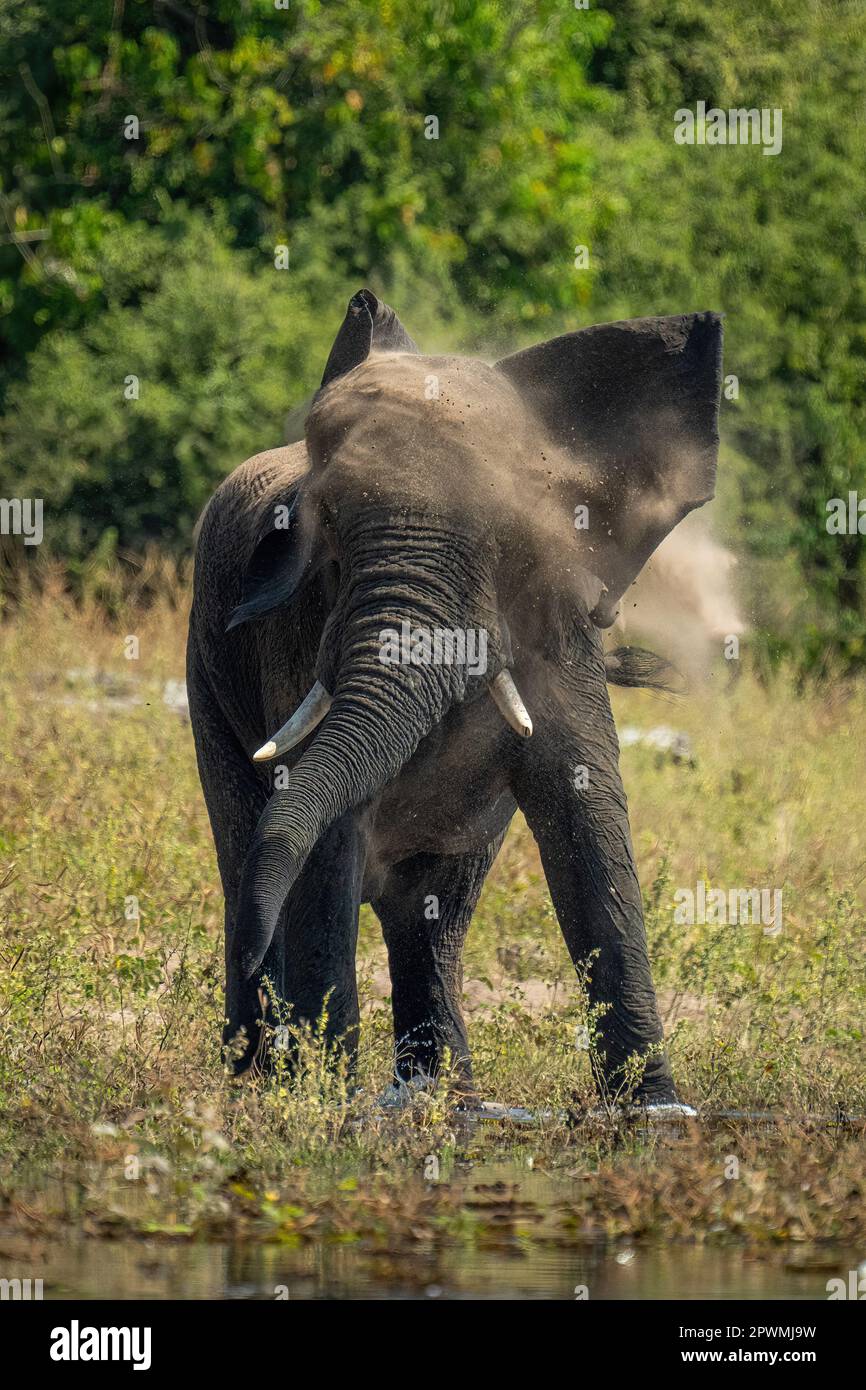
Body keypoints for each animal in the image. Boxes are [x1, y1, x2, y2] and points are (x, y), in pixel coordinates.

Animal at [189, 284, 722, 1106]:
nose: (253, 954)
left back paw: (439, 1097)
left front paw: (656, 1110)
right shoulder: (297, 635)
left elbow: (587, 809)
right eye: (329, 543)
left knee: (435, 915)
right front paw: (329, 1107)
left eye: (500, 538)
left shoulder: (556, 627)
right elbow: (329, 837)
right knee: (246, 836)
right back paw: (272, 1078)